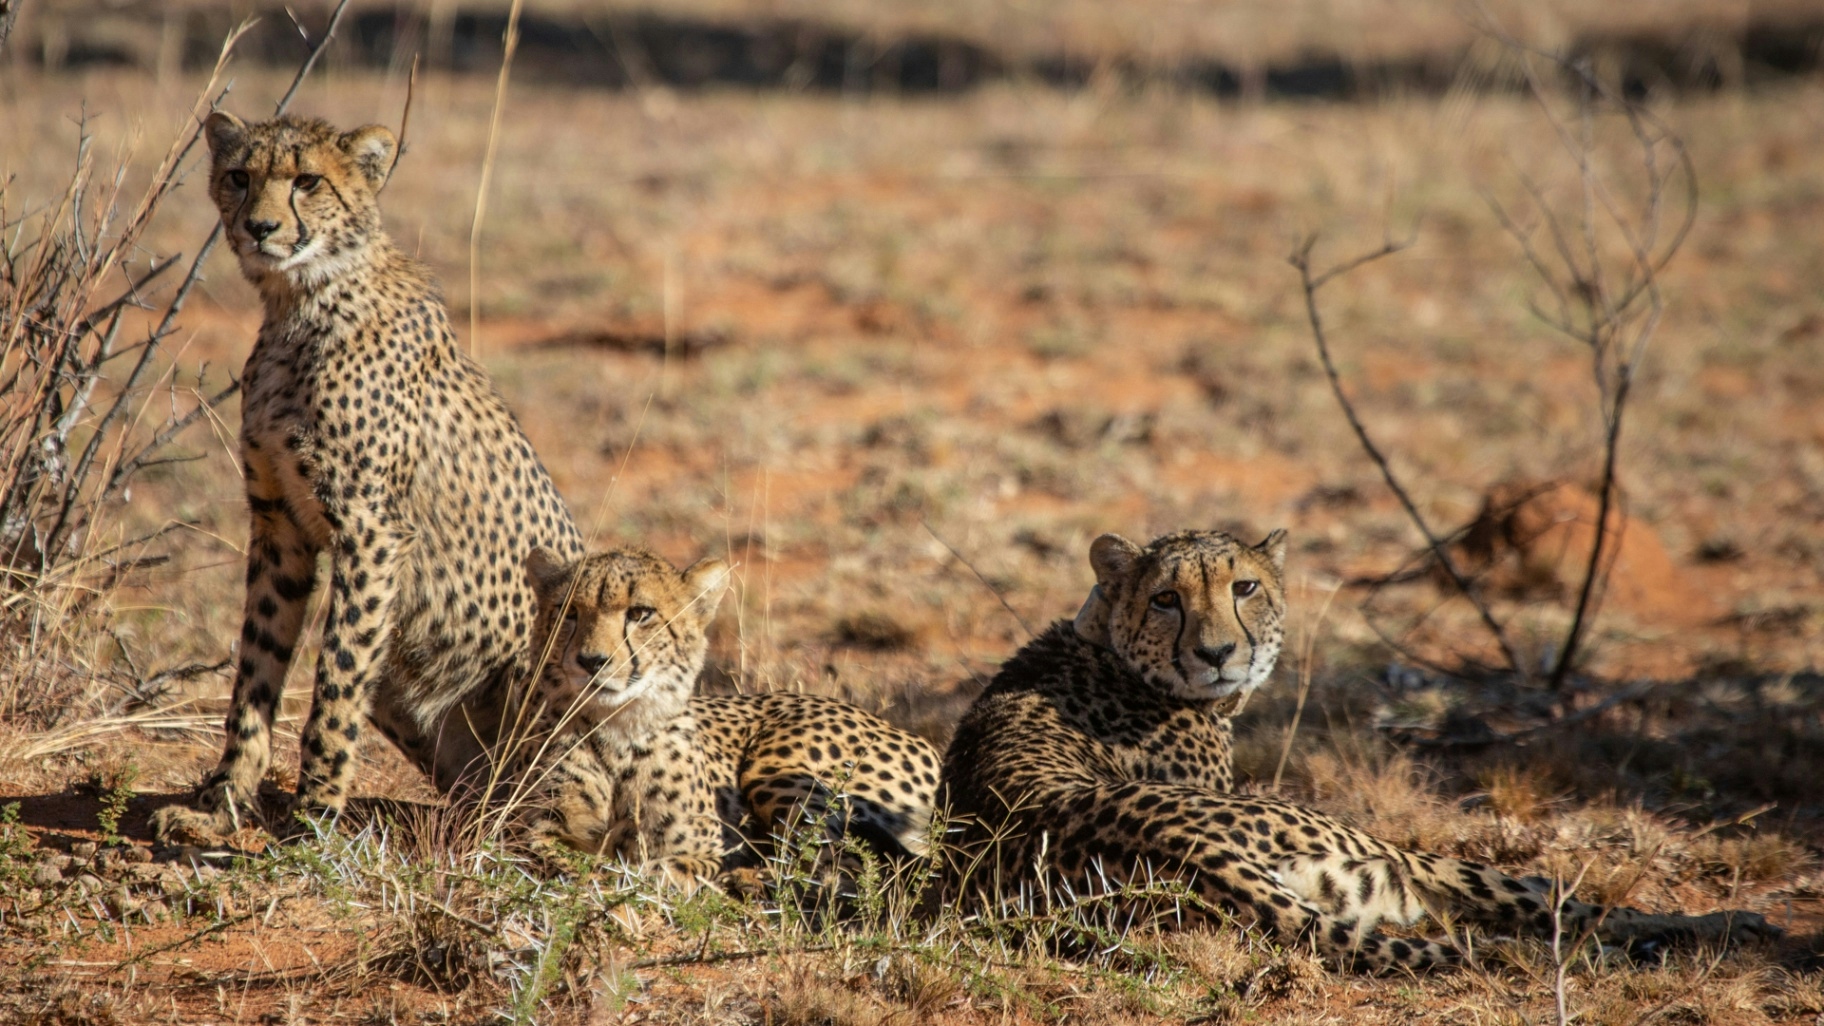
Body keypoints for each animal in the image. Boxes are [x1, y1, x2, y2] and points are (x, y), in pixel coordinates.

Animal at [156, 113, 587, 839]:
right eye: (239, 175)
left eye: (307, 181)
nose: (260, 228)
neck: (303, 300)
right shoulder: (279, 525)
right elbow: (256, 669)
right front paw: (222, 801)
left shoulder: (372, 531)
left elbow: (336, 681)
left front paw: (315, 814)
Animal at [514, 544, 941, 887]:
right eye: (568, 612)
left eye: (640, 613)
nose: (590, 661)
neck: (617, 727)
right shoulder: (527, 833)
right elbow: (554, 857)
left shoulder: (705, 847)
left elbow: (664, 868)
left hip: (776, 770)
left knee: (841, 862)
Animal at [933, 525, 1772, 963]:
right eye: (1166, 598)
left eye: (1243, 588)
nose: (1215, 653)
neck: (1105, 641)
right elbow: (1550, 896)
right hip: (1392, 857)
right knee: (1558, 906)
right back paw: (1717, 930)